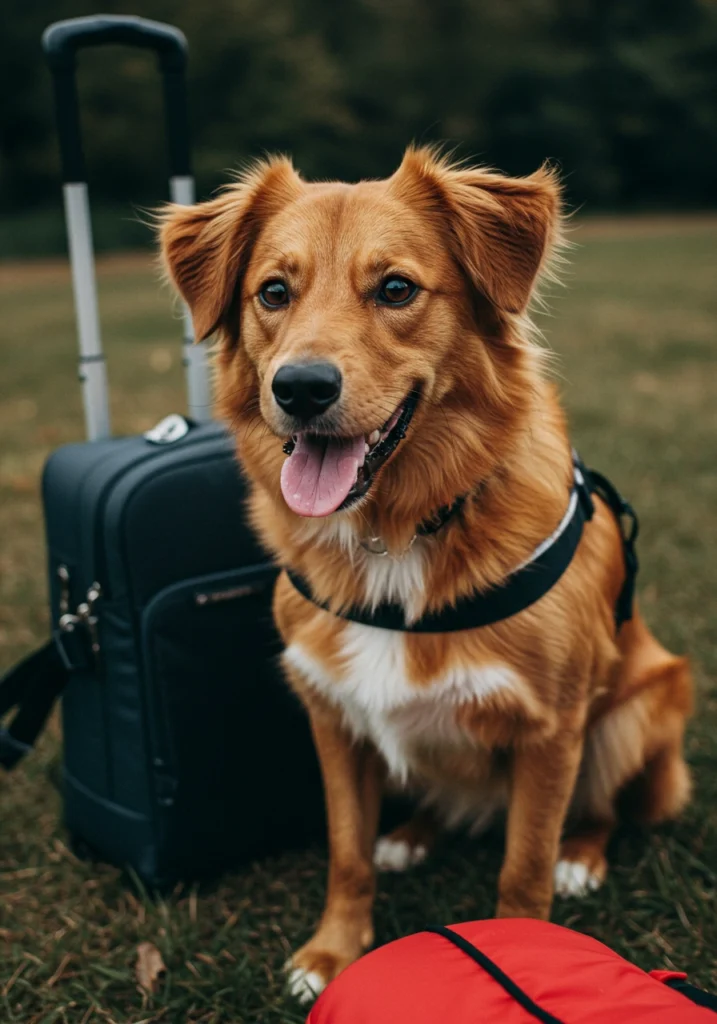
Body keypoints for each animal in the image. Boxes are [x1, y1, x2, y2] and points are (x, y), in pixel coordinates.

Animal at [159, 148, 692, 1003]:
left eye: (395, 289)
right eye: (273, 292)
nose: (299, 389)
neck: (398, 532)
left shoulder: (551, 730)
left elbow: (523, 868)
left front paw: (527, 950)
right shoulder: (333, 715)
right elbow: (345, 852)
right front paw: (330, 954)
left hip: (638, 707)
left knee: (603, 808)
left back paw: (583, 855)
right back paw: (410, 835)